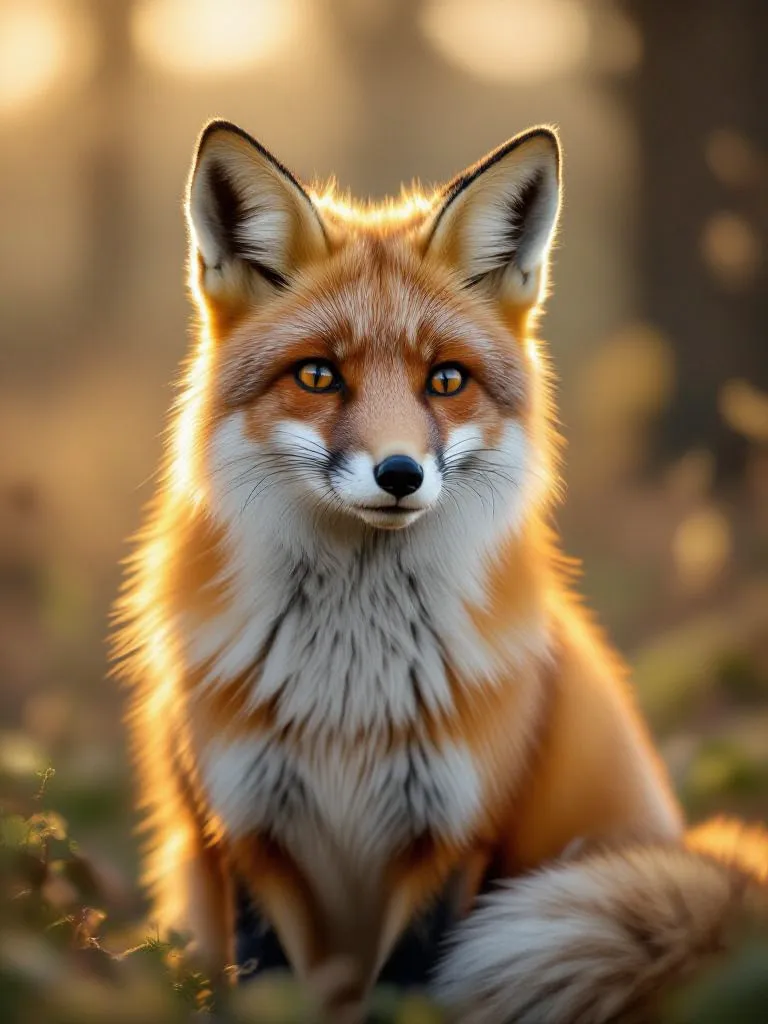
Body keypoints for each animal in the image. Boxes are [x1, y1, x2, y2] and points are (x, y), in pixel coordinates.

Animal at [114, 119, 768, 1022]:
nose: (399, 474)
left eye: (446, 379)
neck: (347, 695)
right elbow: (267, 983)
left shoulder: (454, 837)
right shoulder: (244, 831)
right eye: (319, 374)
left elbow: (407, 988)